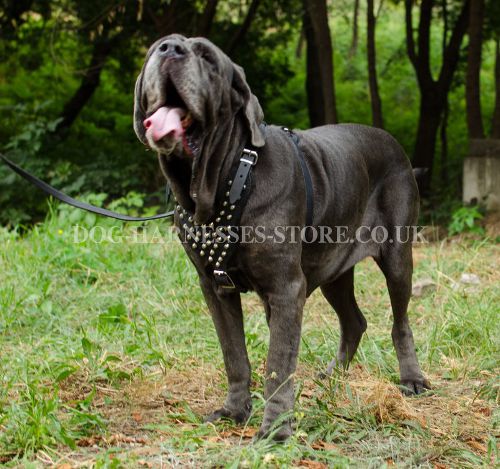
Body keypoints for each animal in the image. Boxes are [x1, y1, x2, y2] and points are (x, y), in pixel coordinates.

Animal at [134, 33, 430, 438]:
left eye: (207, 58)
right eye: (156, 48)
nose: (170, 50)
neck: (229, 181)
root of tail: (395, 145)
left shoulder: (286, 288)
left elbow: (277, 362)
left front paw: (275, 430)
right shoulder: (215, 288)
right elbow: (235, 355)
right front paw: (234, 411)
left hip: (397, 256)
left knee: (400, 322)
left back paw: (411, 379)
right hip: (333, 270)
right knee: (354, 321)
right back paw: (333, 377)